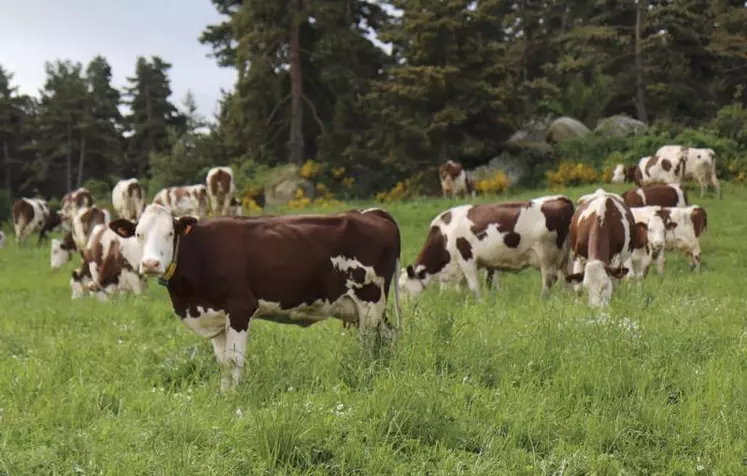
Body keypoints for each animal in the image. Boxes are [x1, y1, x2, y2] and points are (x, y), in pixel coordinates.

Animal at [107, 203, 404, 392]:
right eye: (138, 234)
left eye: (170, 233)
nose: (150, 264)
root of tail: (372, 213)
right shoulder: (214, 316)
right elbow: (223, 362)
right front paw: (224, 394)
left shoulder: (240, 308)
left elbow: (235, 359)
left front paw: (236, 397)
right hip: (371, 307)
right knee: (388, 336)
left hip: (370, 301)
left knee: (368, 344)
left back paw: (368, 373)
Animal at [400, 194, 576, 300]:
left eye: (401, 287)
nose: (405, 311)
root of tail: (561, 199)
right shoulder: (485, 264)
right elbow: (472, 286)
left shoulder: (467, 260)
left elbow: (474, 287)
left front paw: (479, 303)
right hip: (565, 258)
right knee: (566, 278)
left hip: (547, 256)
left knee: (548, 280)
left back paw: (543, 299)